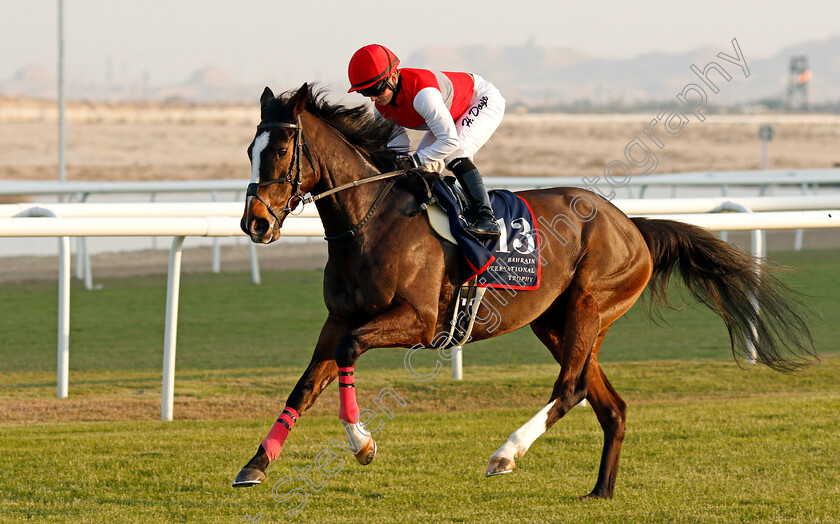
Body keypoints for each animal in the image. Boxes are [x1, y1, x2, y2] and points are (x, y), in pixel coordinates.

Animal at [233, 83, 816, 500]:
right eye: (250, 149)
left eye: (281, 148)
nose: (254, 223)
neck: (371, 222)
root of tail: (631, 225)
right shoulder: (338, 317)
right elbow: (305, 385)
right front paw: (254, 465)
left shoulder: (417, 321)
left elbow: (350, 350)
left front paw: (363, 445)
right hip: (558, 323)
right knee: (609, 403)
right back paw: (600, 491)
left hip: (588, 305)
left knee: (572, 389)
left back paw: (506, 454)